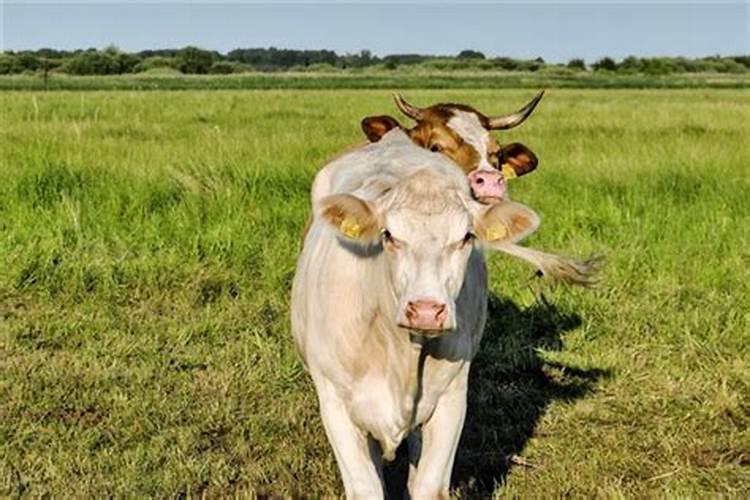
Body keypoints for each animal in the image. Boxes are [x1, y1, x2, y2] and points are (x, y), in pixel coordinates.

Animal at [294, 131, 548, 498]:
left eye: (466, 237)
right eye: (388, 235)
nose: (426, 311)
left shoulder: (451, 398)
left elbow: (428, 486)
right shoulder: (334, 402)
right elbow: (366, 487)